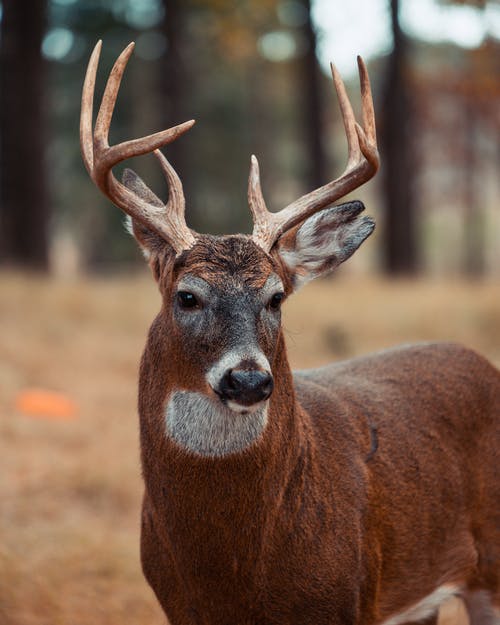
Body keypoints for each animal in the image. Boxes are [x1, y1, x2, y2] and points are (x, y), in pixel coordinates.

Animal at [80, 40, 498, 624]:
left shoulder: (349, 600)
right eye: (186, 296)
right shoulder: (178, 607)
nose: (248, 380)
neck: (233, 575)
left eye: (276, 297)